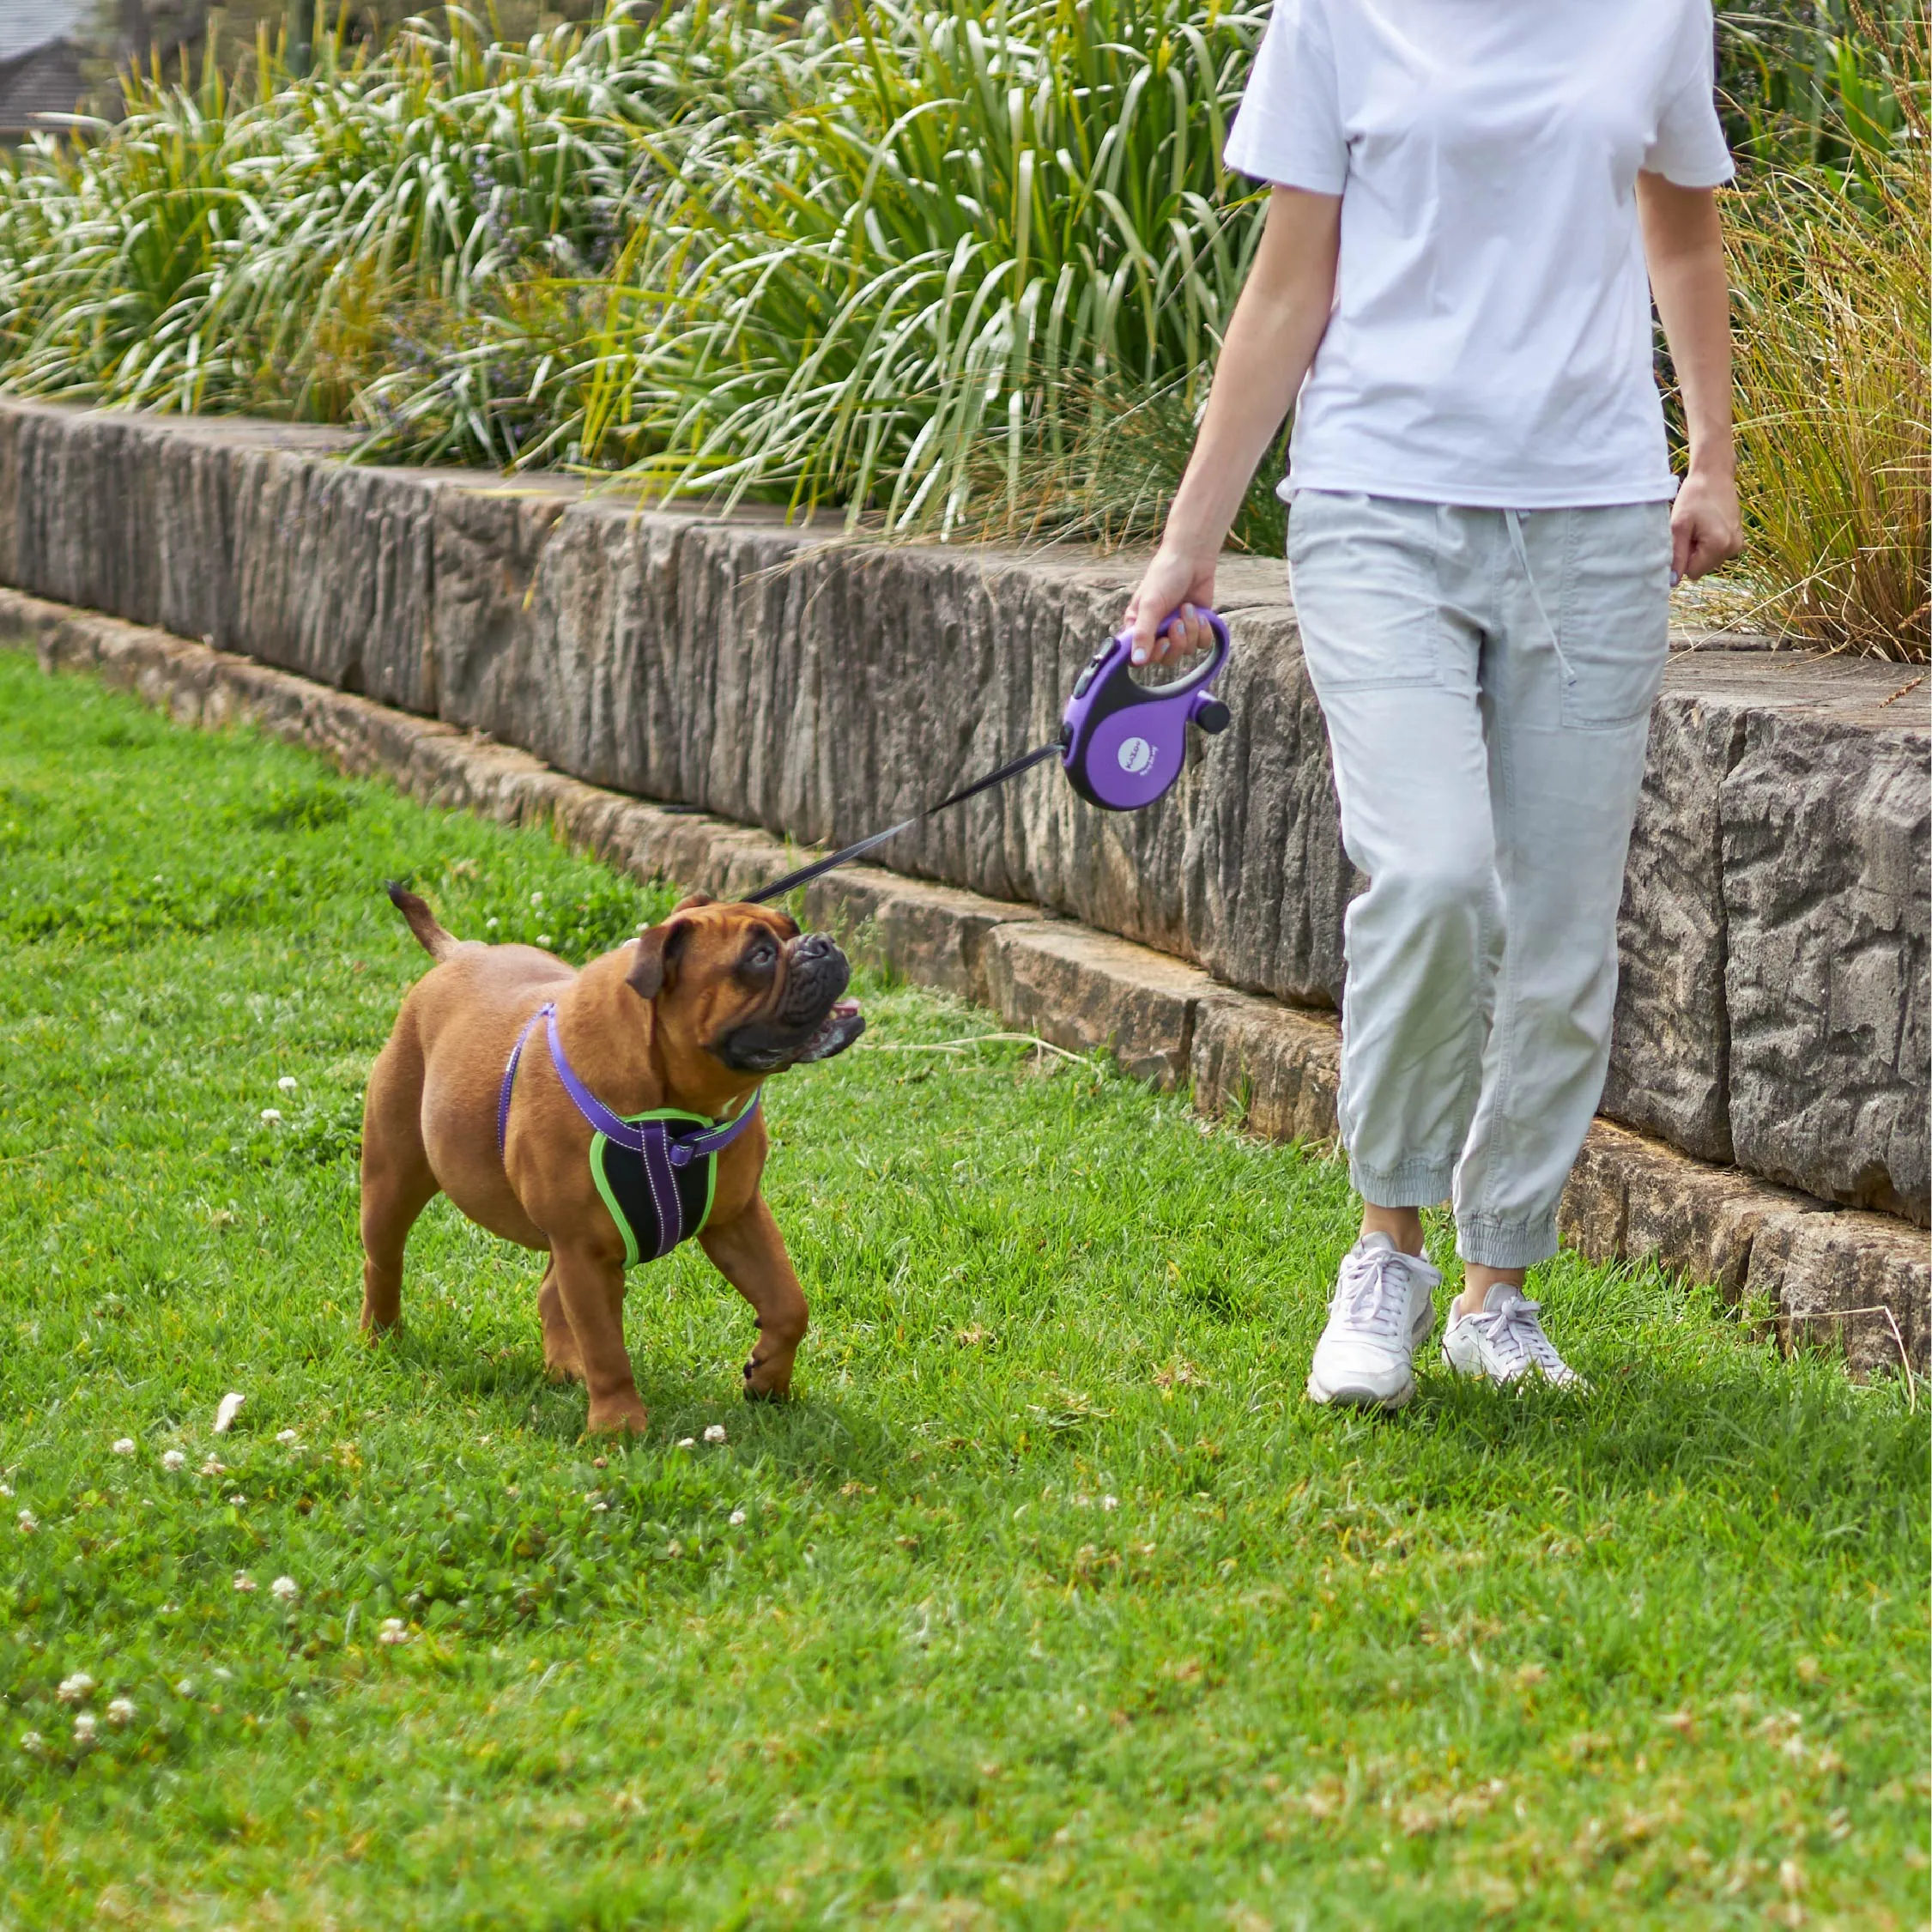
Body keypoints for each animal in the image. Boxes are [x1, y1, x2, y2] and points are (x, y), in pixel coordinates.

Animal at [357, 888, 869, 1437]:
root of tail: (461, 952)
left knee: (549, 1293)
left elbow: (788, 1304)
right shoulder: (586, 1252)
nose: (822, 943)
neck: (679, 1116)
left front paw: (768, 1379)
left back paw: (565, 1364)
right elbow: (606, 1347)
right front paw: (619, 1425)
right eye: (759, 957)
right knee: (384, 1263)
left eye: (791, 927)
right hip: (391, 1184)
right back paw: (380, 1339)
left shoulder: (737, 1218)